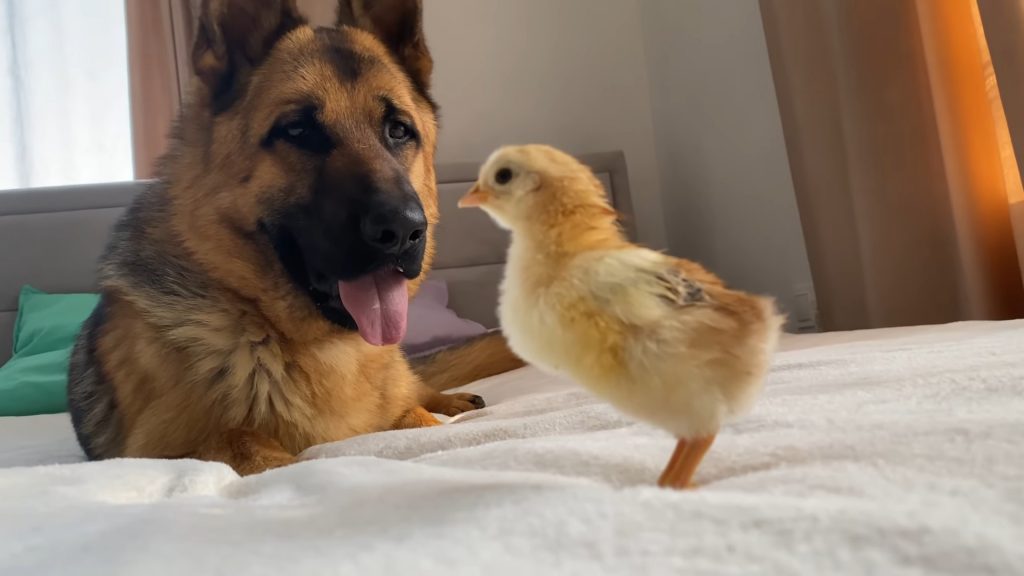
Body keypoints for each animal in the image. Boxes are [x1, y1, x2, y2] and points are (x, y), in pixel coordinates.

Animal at [66, 0, 520, 475]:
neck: (318, 347)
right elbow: (239, 440)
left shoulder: (397, 411)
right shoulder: (155, 452)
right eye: (298, 131)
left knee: (417, 385)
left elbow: (414, 417)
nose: (404, 231)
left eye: (398, 130)